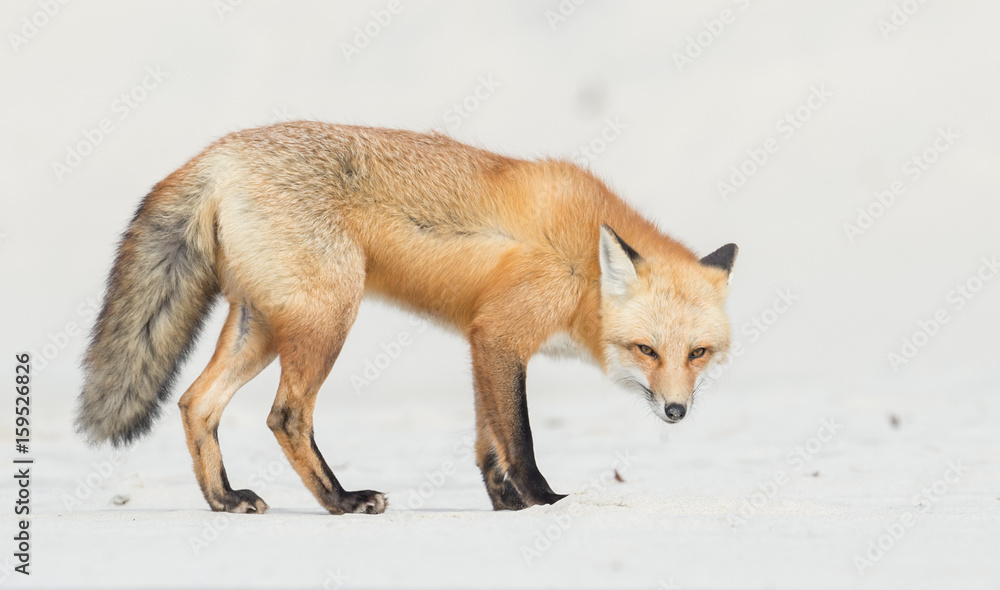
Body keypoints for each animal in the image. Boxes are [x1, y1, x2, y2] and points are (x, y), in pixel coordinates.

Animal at [77, 121, 738, 515]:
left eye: (698, 353)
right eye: (645, 350)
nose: (676, 412)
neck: (582, 265)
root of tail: (217, 154)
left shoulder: (481, 341)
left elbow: (488, 441)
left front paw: (504, 504)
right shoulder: (502, 337)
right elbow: (519, 438)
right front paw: (543, 501)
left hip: (260, 327)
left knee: (196, 403)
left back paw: (224, 500)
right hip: (327, 320)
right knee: (285, 416)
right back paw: (341, 501)